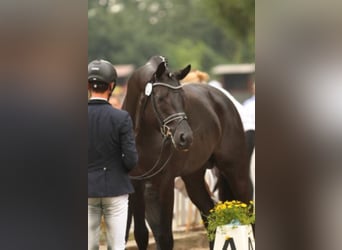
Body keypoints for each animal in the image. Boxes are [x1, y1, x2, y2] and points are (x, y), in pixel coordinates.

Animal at [123, 56, 251, 250]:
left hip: (236, 170)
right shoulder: (135, 185)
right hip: (193, 178)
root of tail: (223, 98)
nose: (186, 137)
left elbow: (164, 237)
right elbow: (141, 234)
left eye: (182, 98)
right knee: (209, 213)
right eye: (160, 98)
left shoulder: (164, 184)